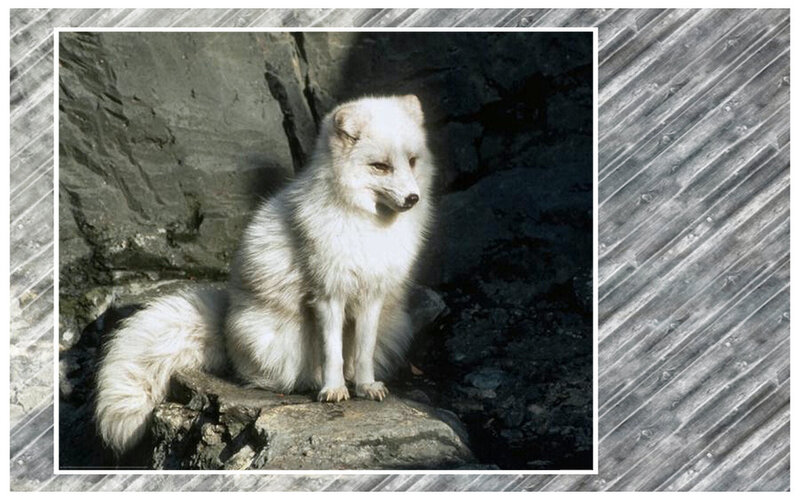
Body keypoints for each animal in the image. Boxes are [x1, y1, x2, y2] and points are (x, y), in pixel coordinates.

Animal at [94, 95, 435, 456]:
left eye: (412, 161)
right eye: (380, 166)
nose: (413, 198)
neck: (367, 225)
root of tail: (226, 320)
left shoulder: (372, 295)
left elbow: (363, 350)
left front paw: (366, 385)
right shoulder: (327, 295)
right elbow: (333, 352)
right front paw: (333, 389)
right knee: (266, 376)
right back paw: (308, 382)